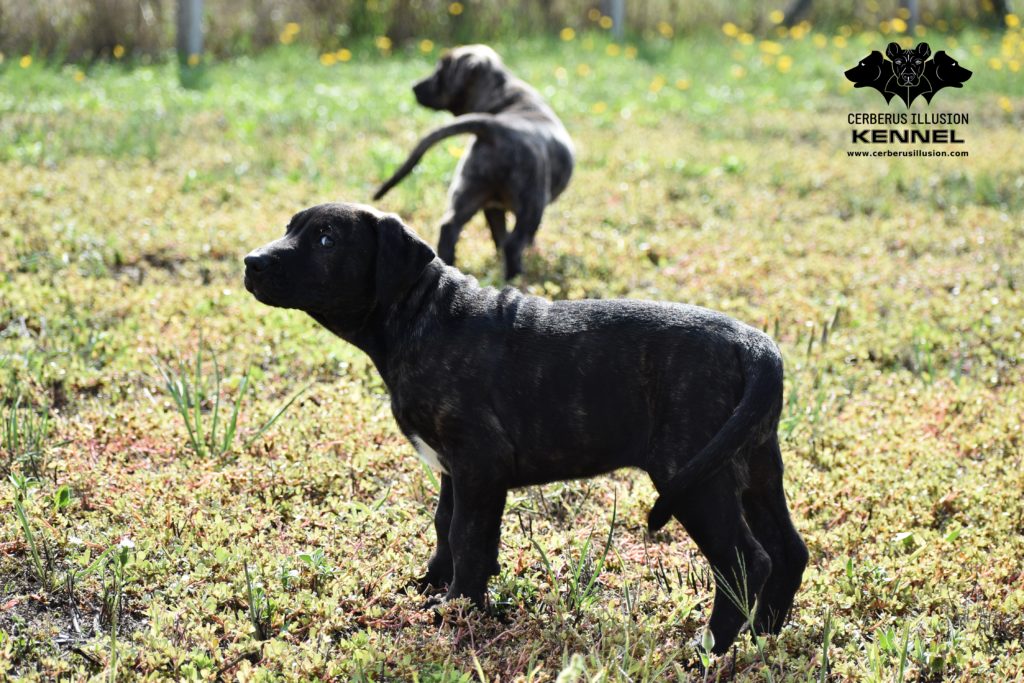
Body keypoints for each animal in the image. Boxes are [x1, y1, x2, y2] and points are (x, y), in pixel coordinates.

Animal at [241, 201, 806, 651]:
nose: (251, 261)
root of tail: (754, 344)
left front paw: (456, 612)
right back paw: (764, 636)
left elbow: (468, 538)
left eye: (327, 239)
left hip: (693, 476)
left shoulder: (477, 463)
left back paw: (710, 648)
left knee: (745, 561)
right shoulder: (455, 469)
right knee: (787, 550)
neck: (418, 315)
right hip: (753, 464)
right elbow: (446, 526)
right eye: (291, 227)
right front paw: (432, 589)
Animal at [372, 45, 577, 280]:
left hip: (468, 190)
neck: (501, 95)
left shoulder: (492, 207)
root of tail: (494, 128)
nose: (414, 86)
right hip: (531, 205)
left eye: (441, 71)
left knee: (450, 227)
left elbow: (498, 235)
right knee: (514, 244)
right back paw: (515, 277)